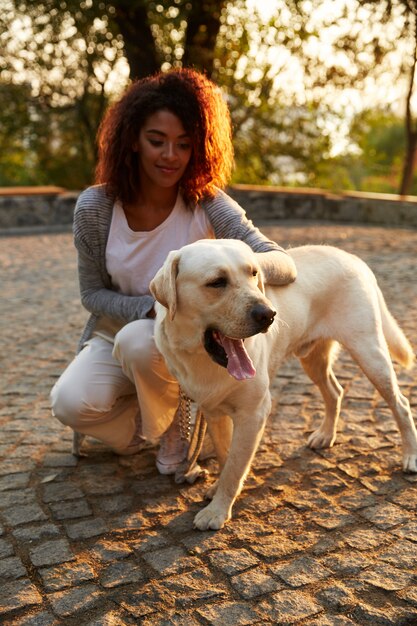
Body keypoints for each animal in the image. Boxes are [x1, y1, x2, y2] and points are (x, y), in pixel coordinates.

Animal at [150, 238, 416, 528]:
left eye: (254, 274)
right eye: (217, 282)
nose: (268, 314)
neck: (201, 358)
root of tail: (352, 257)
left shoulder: (254, 413)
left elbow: (234, 466)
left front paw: (218, 510)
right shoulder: (213, 410)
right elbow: (225, 455)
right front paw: (218, 490)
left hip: (370, 354)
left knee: (401, 403)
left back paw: (410, 456)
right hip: (313, 360)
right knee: (335, 392)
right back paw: (326, 435)